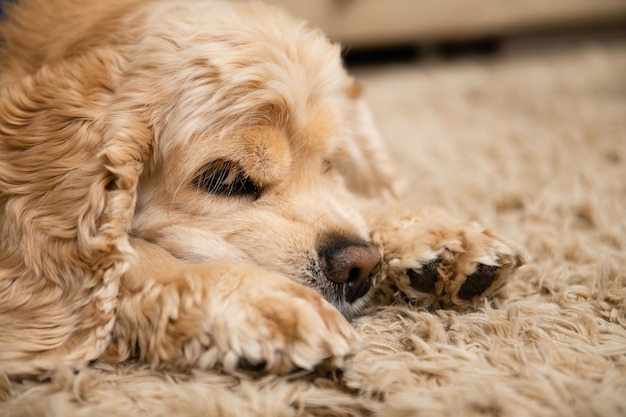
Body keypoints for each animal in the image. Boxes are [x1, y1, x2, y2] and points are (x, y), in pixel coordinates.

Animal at [0, 0, 520, 376]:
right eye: (226, 179)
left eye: (329, 163)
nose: (360, 266)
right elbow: (123, 261)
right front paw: (262, 301)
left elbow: (354, 206)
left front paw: (435, 239)